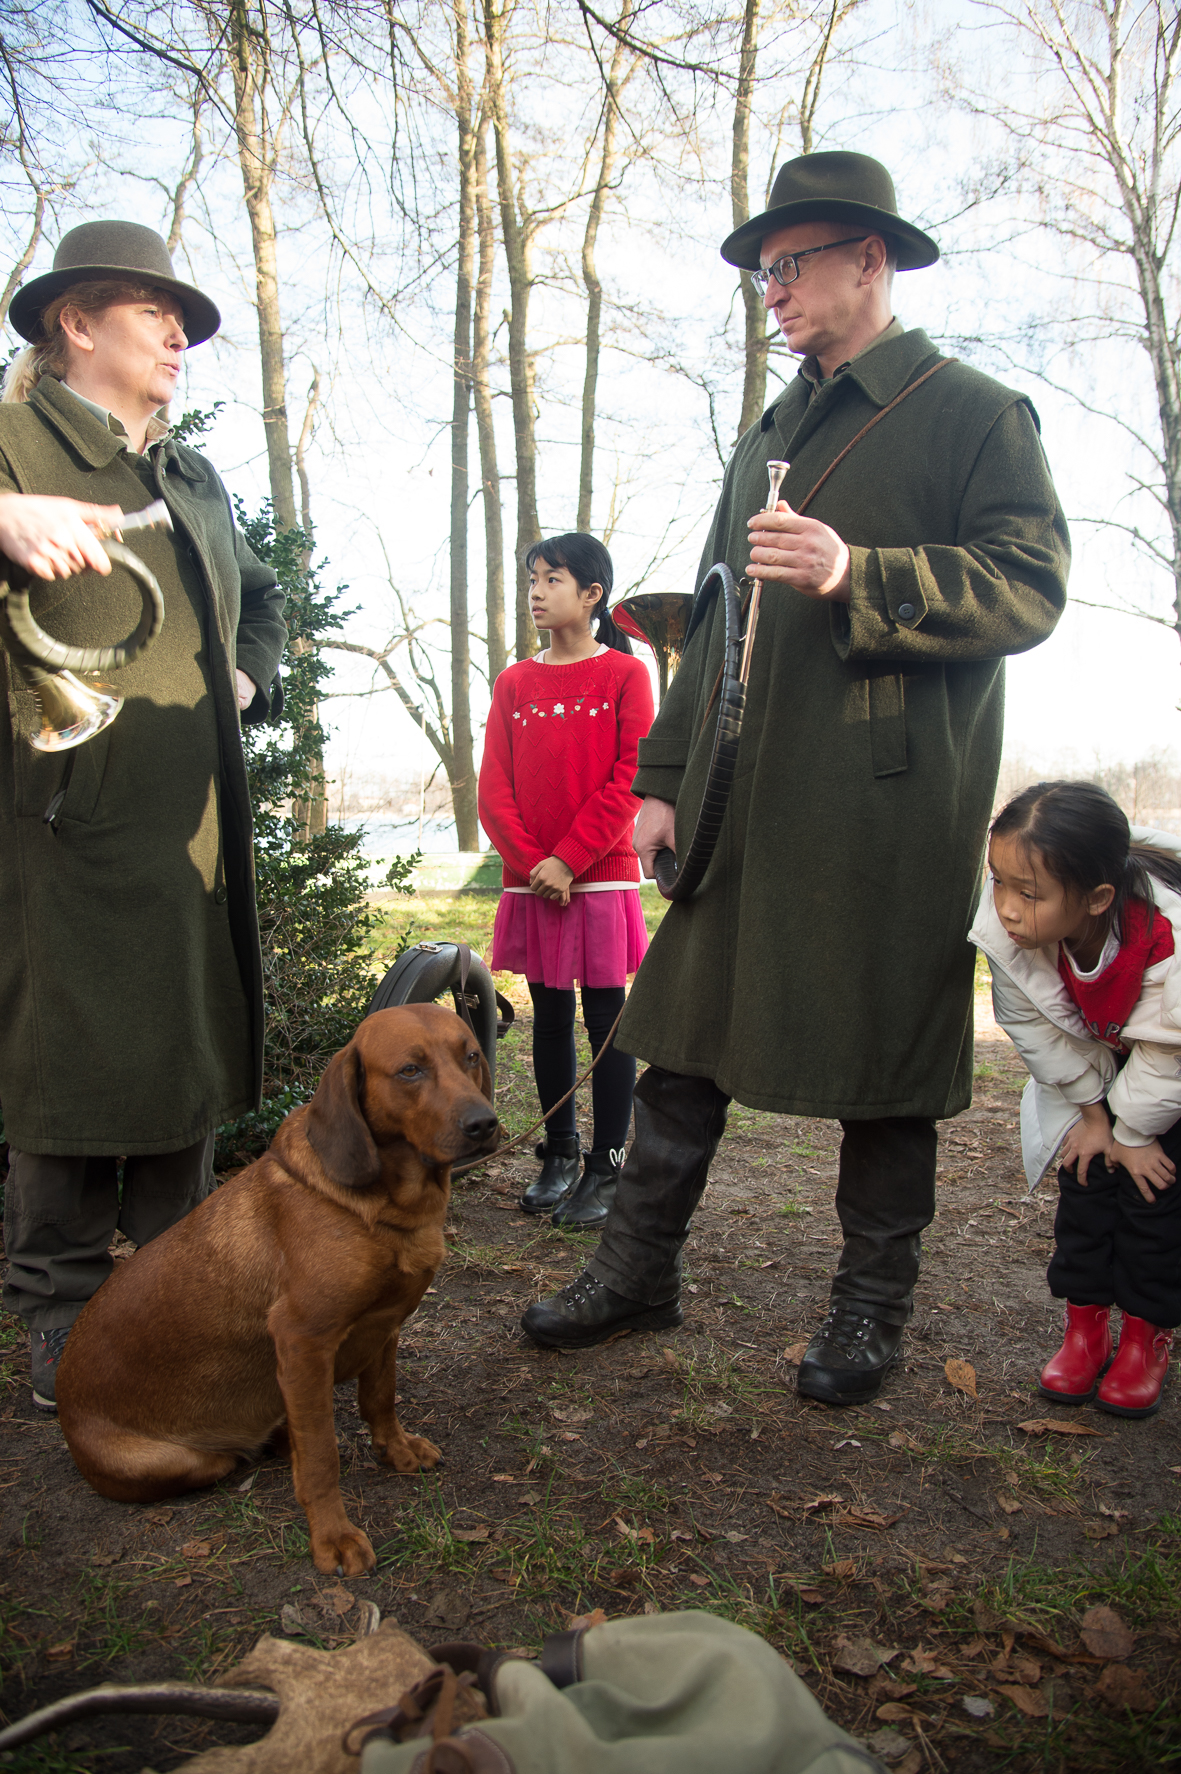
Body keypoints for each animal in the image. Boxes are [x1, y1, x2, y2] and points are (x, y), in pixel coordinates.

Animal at [55, 1004, 499, 1576]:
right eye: (409, 1071)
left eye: (471, 1056)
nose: (484, 1123)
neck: (388, 1211)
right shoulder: (304, 1342)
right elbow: (321, 1456)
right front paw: (332, 1536)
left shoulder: (385, 1327)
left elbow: (381, 1398)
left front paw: (395, 1450)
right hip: (183, 1459)